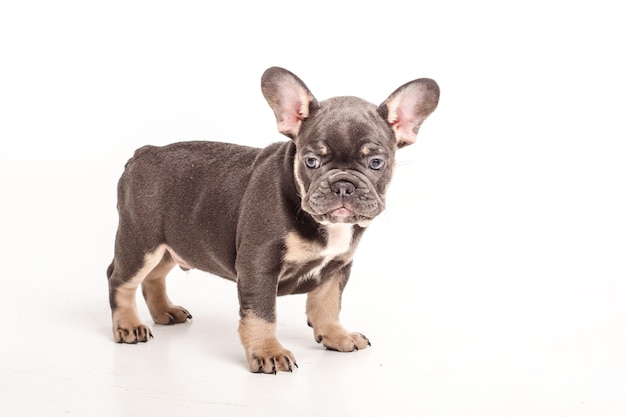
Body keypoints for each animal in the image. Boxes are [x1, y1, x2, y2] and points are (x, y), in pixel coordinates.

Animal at [106, 66, 438, 374]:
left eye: (376, 163)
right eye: (311, 161)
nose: (343, 185)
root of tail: (144, 153)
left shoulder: (337, 267)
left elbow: (328, 304)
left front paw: (335, 335)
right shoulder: (259, 265)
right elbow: (262, 315)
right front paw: (268, 352)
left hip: (172, 245)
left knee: (154, 276)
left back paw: (164, 311)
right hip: (141, 242)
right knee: (120, 279)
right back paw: (128, 325)